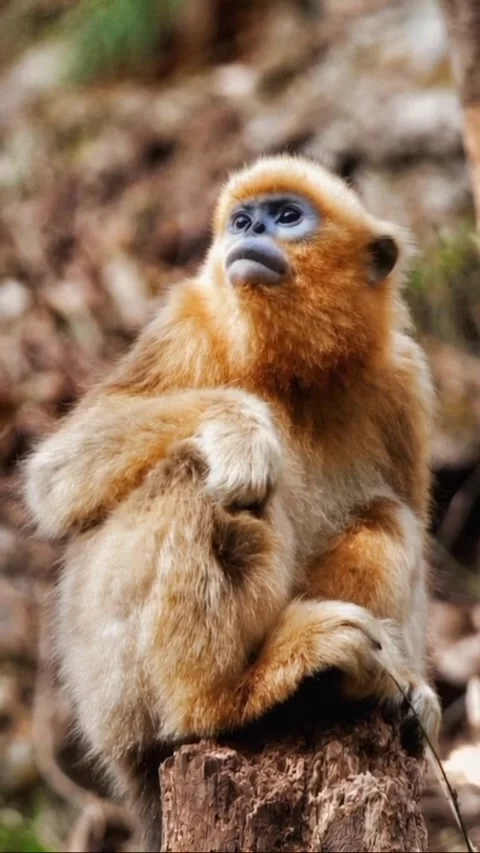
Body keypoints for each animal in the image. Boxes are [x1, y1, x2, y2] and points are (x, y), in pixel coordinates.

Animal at [25, 155, 441, 850]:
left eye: (288, 216)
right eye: (243, 221)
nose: (251, 234)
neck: (293, 375)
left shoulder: (403, 378)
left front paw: (412, 692)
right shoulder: (185, 321)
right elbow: (54, 480)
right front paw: (243, 427)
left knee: (387, 518)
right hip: (116, 692)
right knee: (202, 476)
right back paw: (222, 701)